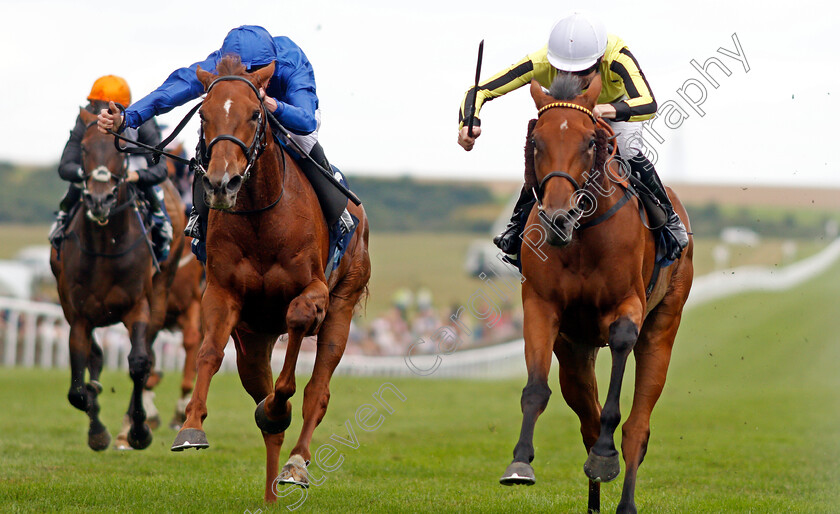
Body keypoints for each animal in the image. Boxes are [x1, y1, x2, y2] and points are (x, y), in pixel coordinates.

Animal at [51, 108, 186, 448]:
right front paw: (97, 430)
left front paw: (138, 430)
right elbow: (77, 387)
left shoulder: (137, 306)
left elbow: (138, 363)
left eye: (119, 151)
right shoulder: (78, 314)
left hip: (161, 294)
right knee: (96, 358)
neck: (104, 245)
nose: (100, 200)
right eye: (84, 149)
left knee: (148, 353)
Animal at [169, 56, 370, 500]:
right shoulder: (222, 293)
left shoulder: (315, 290)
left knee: (317, 392)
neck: (262, 219)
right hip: (253, 338)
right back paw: (270, 490)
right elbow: (209, 352)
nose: (221, 183)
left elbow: (298, 319)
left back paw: (296, 463)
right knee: (264, 405)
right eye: (203, 116)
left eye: (254, 114)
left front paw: (282, 404)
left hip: (344, 306)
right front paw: (190, 426)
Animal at [498, 77, 696, 512]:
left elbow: (621, 348)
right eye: (536, 141)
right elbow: (535, 388)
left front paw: (606, 457)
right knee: (587, 419)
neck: (582, 236)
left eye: (590, 141)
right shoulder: (541, 306)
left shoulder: (628, 305)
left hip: (663, 326)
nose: (558, 219)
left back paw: (623, 498)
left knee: (637, 427)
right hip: (575, 350)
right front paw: (520, 463)